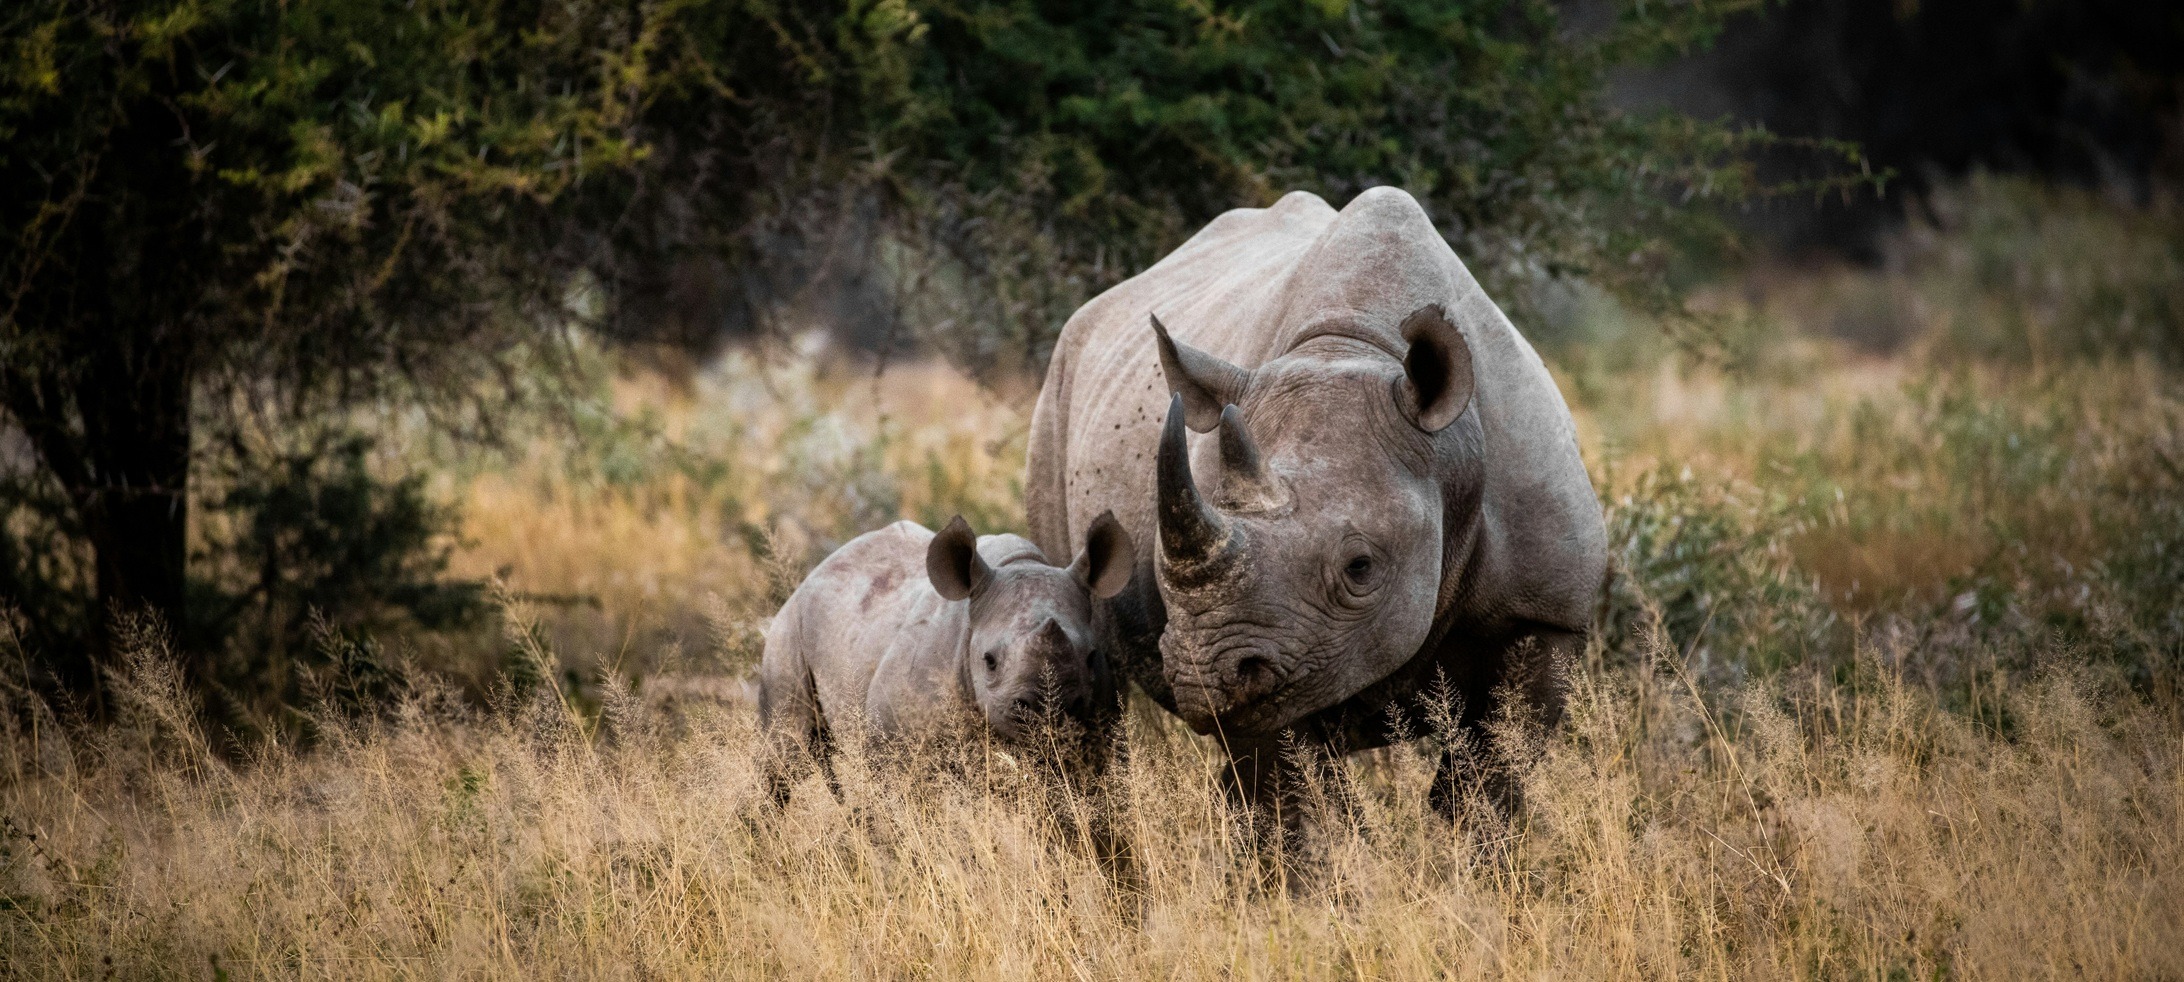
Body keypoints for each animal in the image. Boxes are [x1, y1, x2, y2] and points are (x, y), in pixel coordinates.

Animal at [757, 513, 1133, 799]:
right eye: (989, 661)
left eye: (1091, 657)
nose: (1047, 711)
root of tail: (813, 573)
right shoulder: (893, 742)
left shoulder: (1101, 737)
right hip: (786, 632)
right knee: (784, 758)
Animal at [1025, 187, 1607, 816]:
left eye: (1361, 567)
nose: (1206, 676)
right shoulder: (1280, 650)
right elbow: (1293, 795)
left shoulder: (1544, 613)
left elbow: (1489, 780)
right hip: (1055, 398)